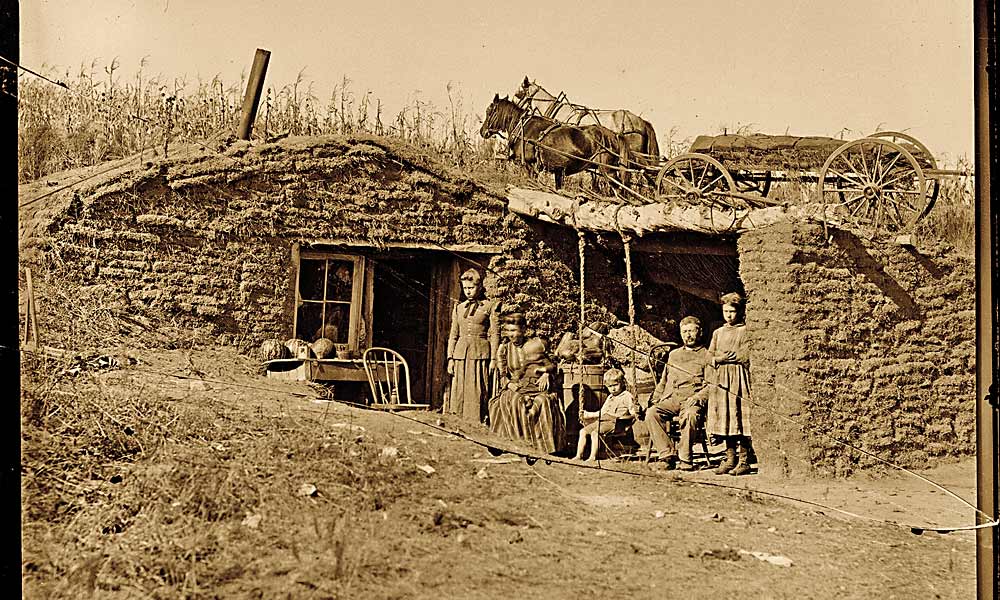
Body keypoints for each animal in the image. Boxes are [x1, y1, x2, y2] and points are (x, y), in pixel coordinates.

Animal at [478, 94, 616, 190]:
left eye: (489, 112)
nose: (482, 131)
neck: (523, 127)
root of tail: (612, 135)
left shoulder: (530, 166)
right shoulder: (558, 171)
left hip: (608, 171)